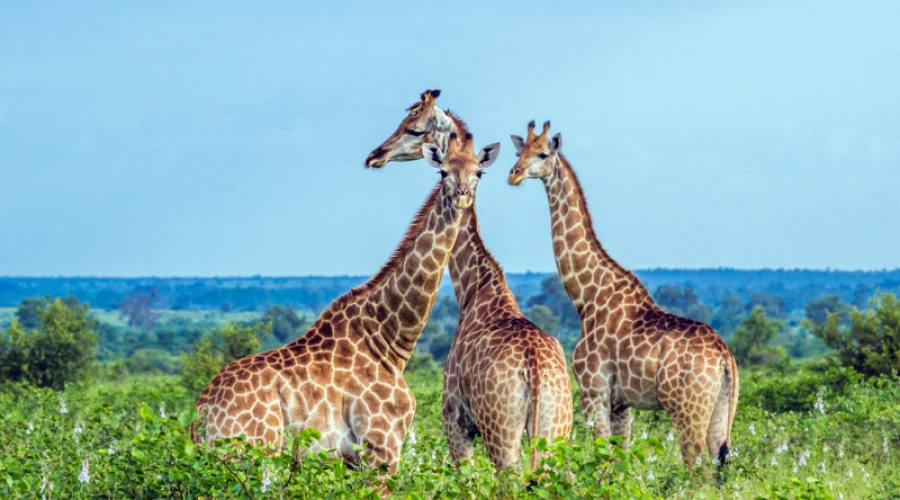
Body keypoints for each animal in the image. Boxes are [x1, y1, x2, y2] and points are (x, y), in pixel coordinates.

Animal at [193, 132, 499, 476]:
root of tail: (201, 413)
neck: (388, 340)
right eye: (443, 172)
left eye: (479, 173)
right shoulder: (382, 447)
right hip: (251, 453)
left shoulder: (354, 460)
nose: (461, 196)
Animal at [366, 91, 572, 470]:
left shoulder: (454, 420)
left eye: (414, 128)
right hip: (556, 431)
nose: (377, 155)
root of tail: (535, 370)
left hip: (502, 435)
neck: (475, 288)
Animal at [507, 120, 739, 468]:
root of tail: (725, 358)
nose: (514, 174)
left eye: (542, 154)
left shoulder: (593, 391)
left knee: (699, 469)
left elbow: (602, 458)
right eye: (519, 151)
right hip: (722, 412)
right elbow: (620, 461)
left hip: (687, 410)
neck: (587, 298)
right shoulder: (621, 403)